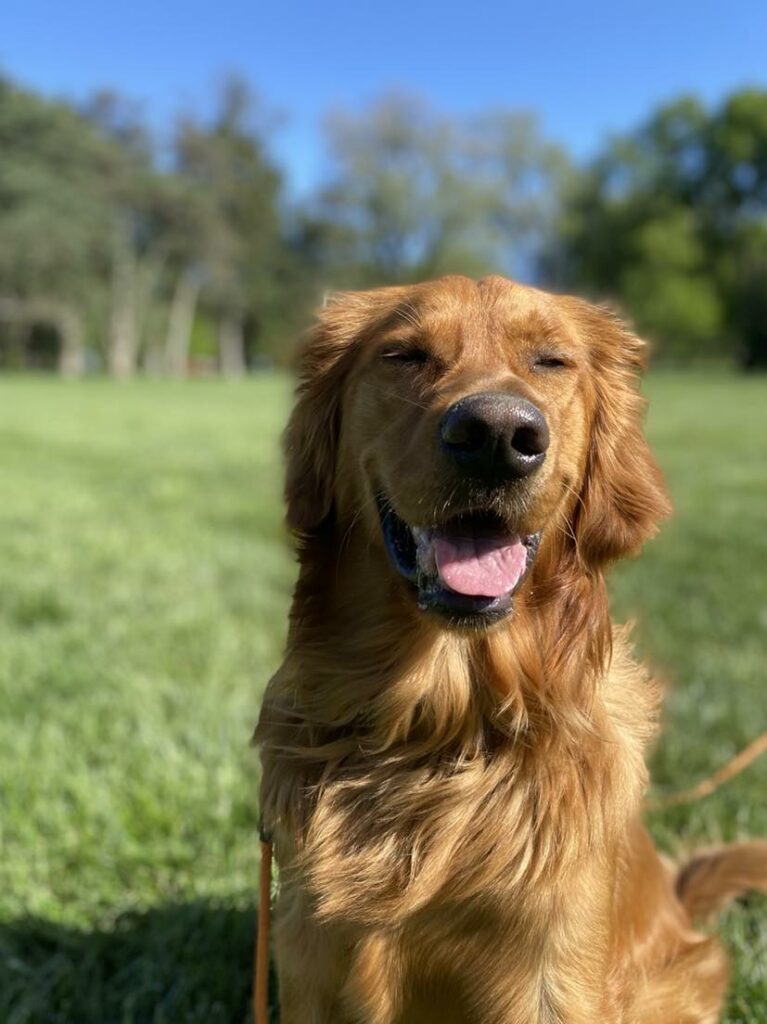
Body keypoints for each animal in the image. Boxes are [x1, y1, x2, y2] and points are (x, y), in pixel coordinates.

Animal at [257, 274, 765, 1024]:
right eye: (404, 355)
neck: (443, 727)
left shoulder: (549, 976)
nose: (497, 435)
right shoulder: (306, 954)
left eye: (551, 361)